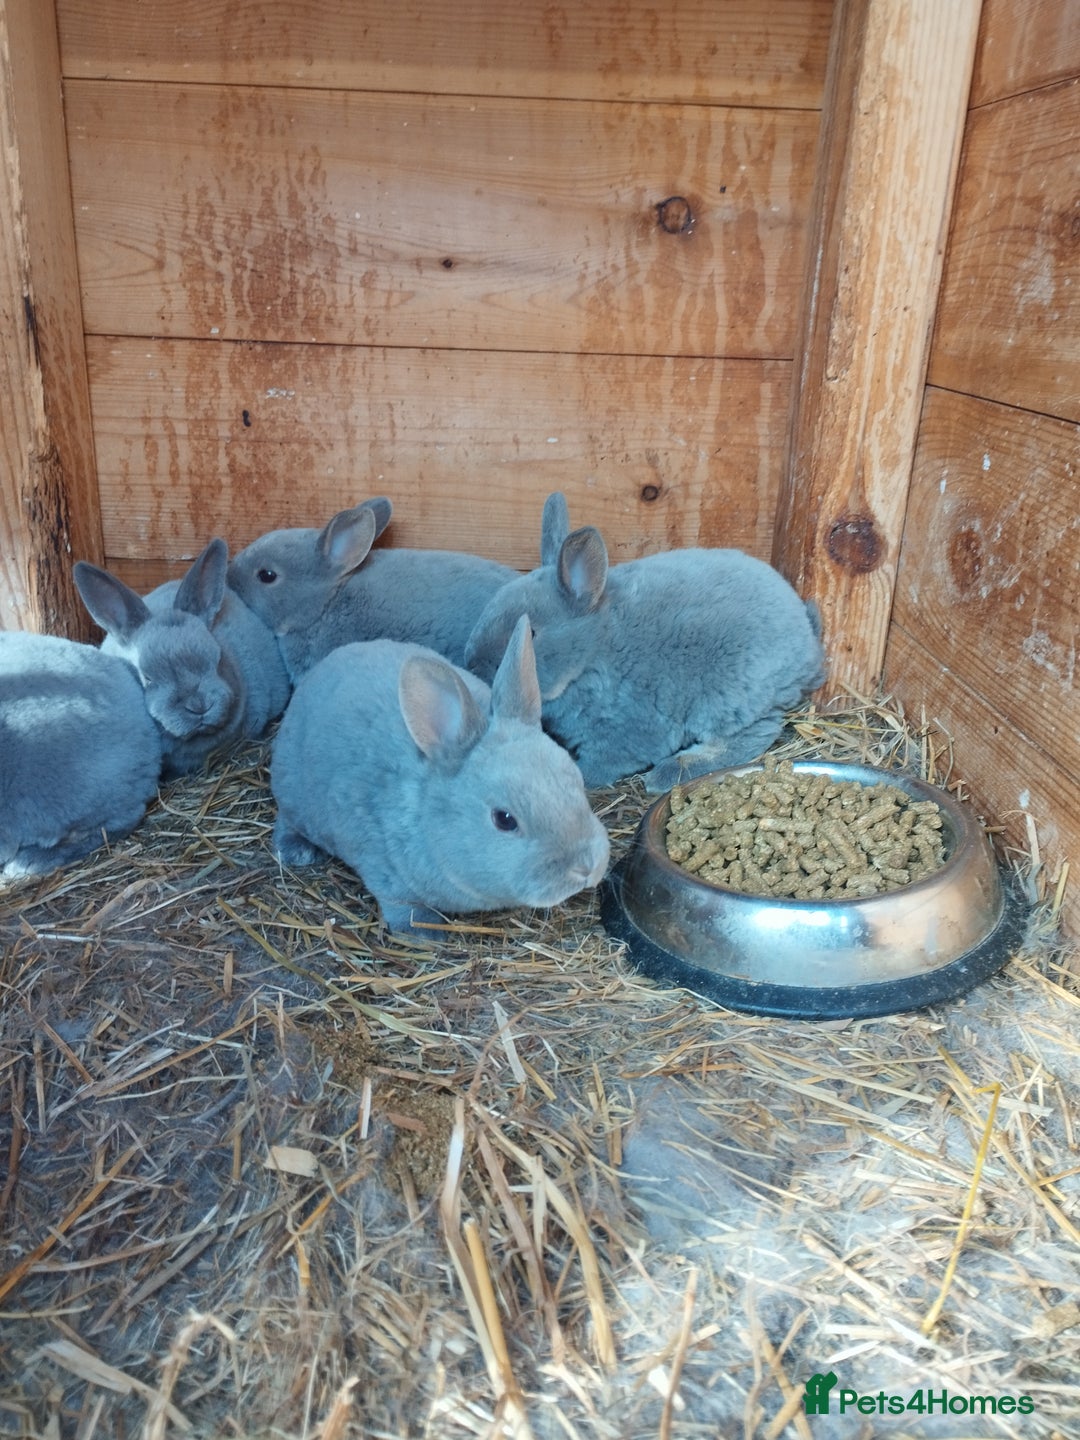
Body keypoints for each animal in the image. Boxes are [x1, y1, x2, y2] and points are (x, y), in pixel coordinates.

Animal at [269, 614, 611, 935]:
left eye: (577, 782)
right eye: (504, 819)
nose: (585, 868)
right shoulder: (385, 872)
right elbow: (404, 908)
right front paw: (423, 935)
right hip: (294, 794)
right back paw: (297, 851)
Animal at [464, 492, 827, 792]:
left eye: (532, 633)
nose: (471, 663)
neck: (593, 652)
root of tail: (807, 644)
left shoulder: (627, 727)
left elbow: (604, 762)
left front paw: (581, 775)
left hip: (729, 697)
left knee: (749, 736)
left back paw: (668, 773)